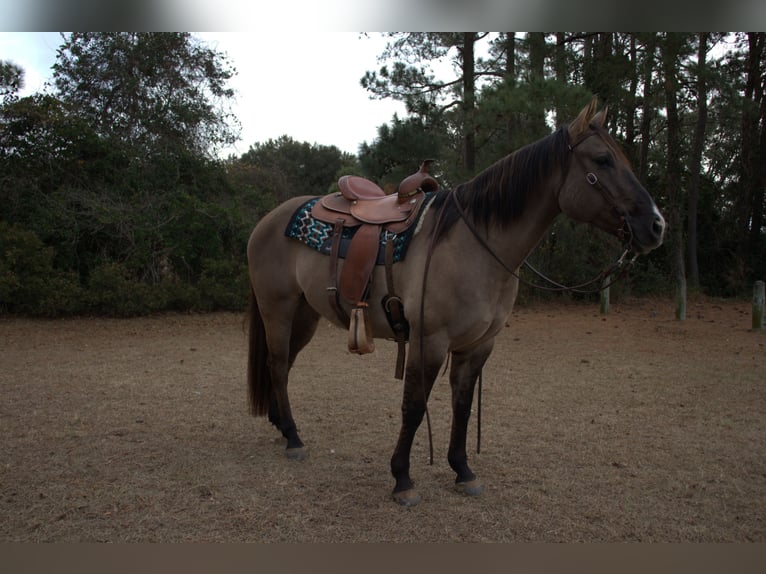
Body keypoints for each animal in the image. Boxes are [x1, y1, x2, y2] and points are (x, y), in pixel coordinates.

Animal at [244, 99, 666, 506]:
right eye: (602, 159)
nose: (657, 225)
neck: (474, 244)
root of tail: (267, 220)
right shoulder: (429, 341)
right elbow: (414, 407)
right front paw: (402, 479)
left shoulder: (477, 345)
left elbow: (462, 406)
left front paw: (463, 471)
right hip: (278, 309)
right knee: (278, 365)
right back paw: (294, 439)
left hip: (305, 315)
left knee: (284, 365)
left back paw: (282, 426)